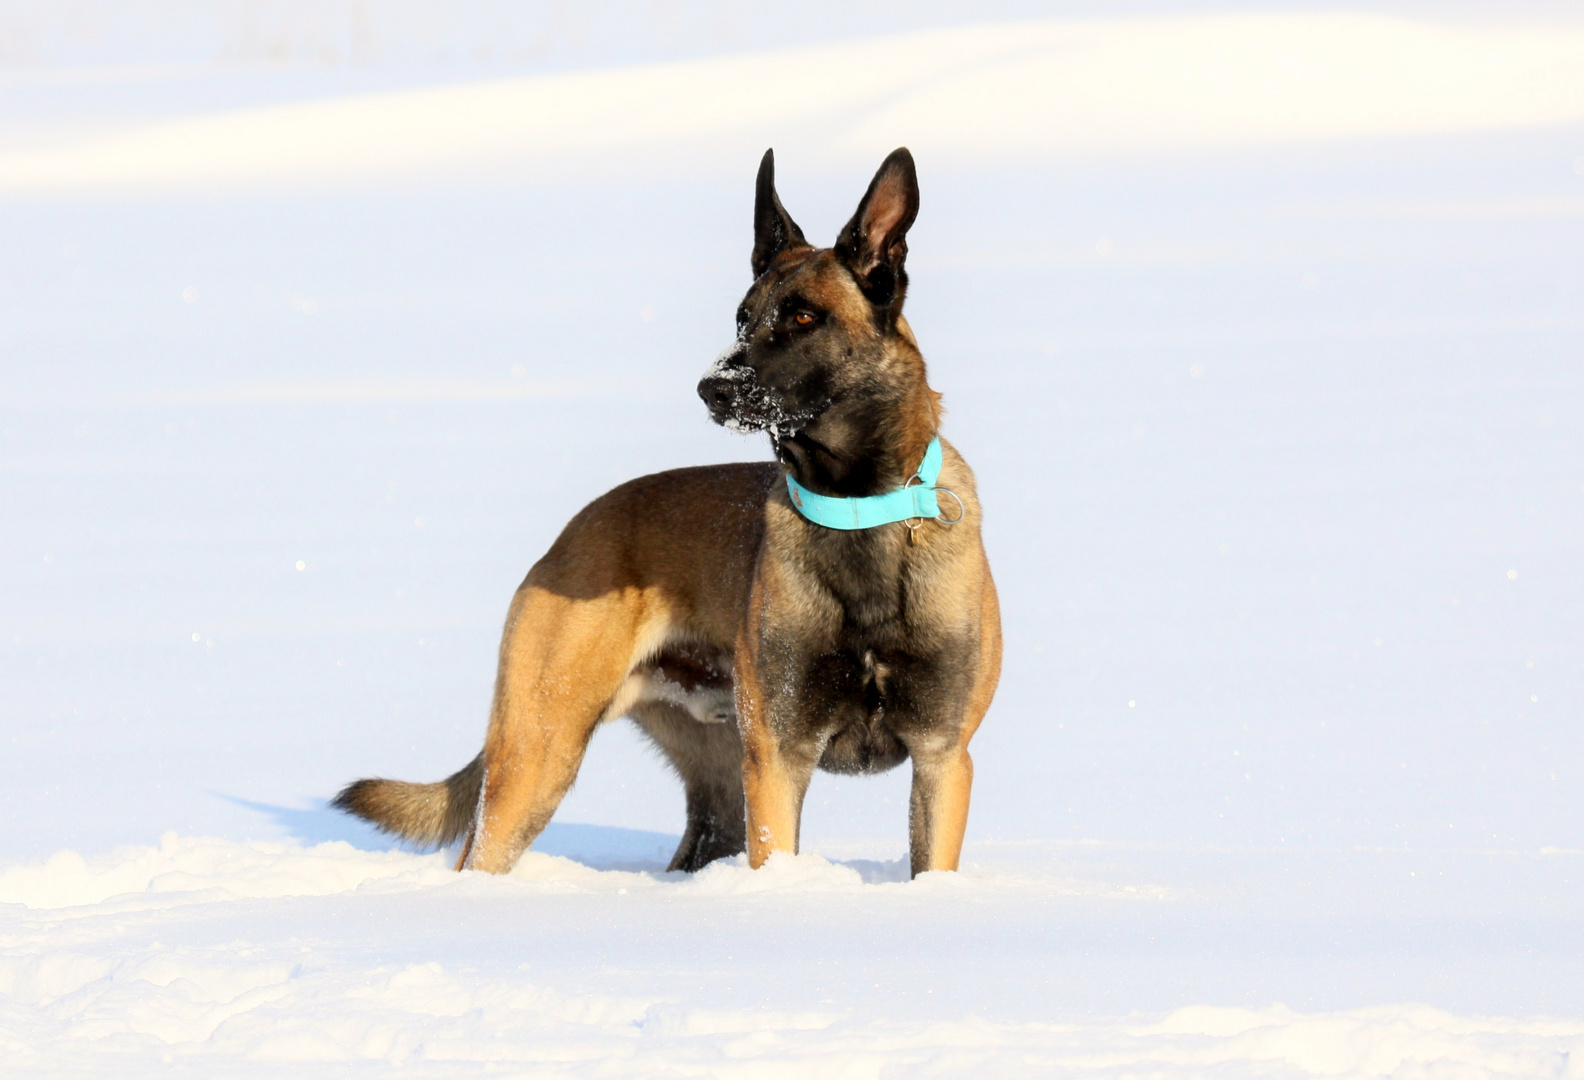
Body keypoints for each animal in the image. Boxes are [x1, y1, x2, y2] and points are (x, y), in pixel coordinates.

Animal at [334, 149, 1001, 874]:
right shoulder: (779, 761)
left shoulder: (942, 761)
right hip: (539, 755)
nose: (712, 389)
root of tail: (570, 532)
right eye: (742, 317)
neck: (854, 511)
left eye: (802, 318)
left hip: (713, 787)